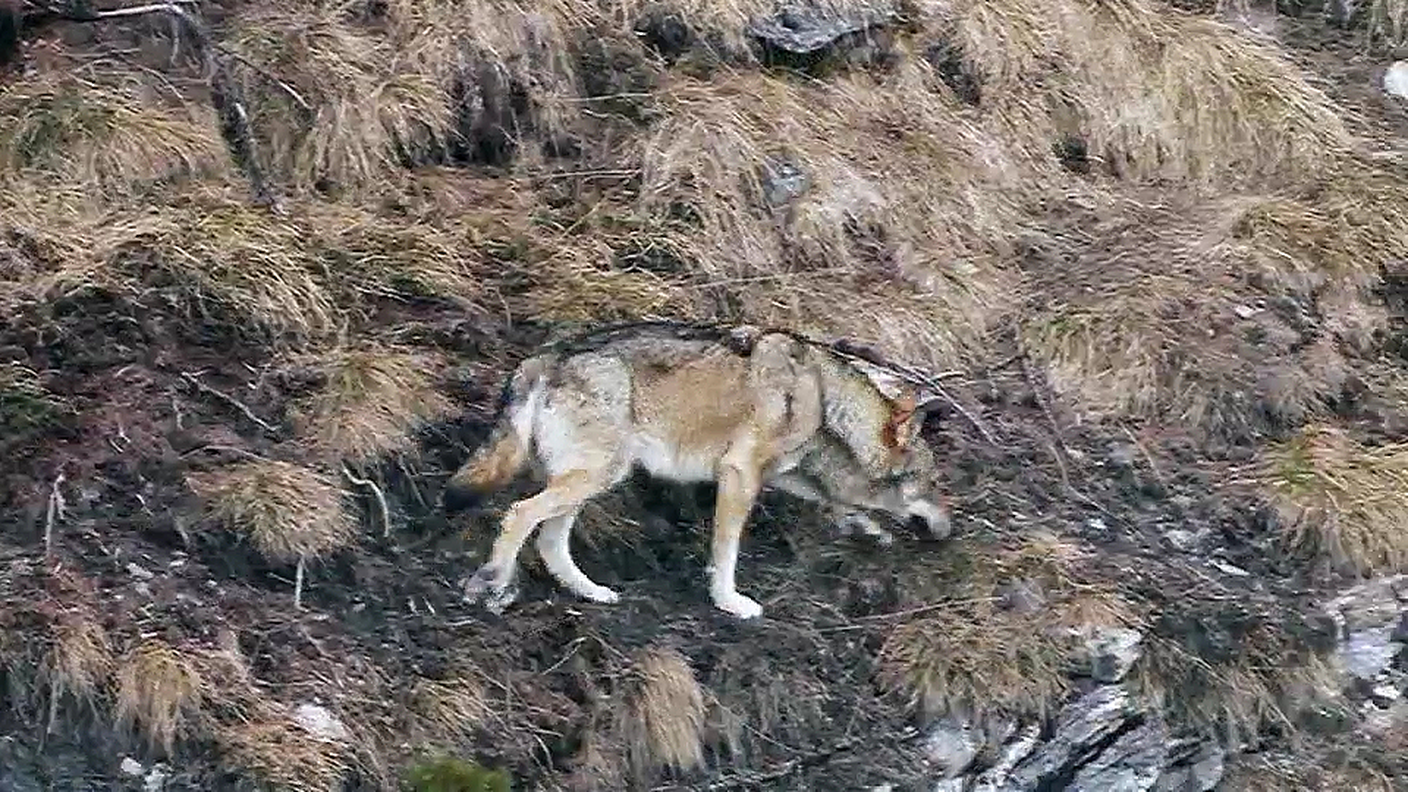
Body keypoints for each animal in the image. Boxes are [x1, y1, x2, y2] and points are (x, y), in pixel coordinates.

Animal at [444, 318, 951, 617]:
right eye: (931, 483)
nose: (951, 529)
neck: (825, 402)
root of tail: (545, 357)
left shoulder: (785, 474)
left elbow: (835, 501)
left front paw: (866, 526)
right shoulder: (741, 473)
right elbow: (726, 552)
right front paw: (730, 602)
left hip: (590, 480)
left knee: (550, 542)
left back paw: (593, 593)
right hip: (597, 476)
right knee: (519, 514)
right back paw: (492, 584)